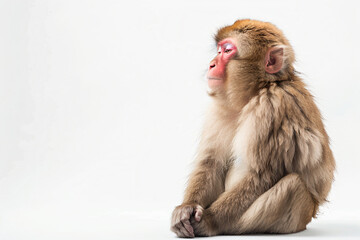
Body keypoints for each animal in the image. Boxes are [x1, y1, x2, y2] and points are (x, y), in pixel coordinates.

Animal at [171, 19, 334, 238]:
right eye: (219, 50)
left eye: (227, 50)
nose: (212, 64)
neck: (258, 90)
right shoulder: (219, 108)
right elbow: (211, 162)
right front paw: (186, 208)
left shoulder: (272, 108)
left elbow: (262, 173)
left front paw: (208, 220)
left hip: (298, 217)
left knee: (293, 184)